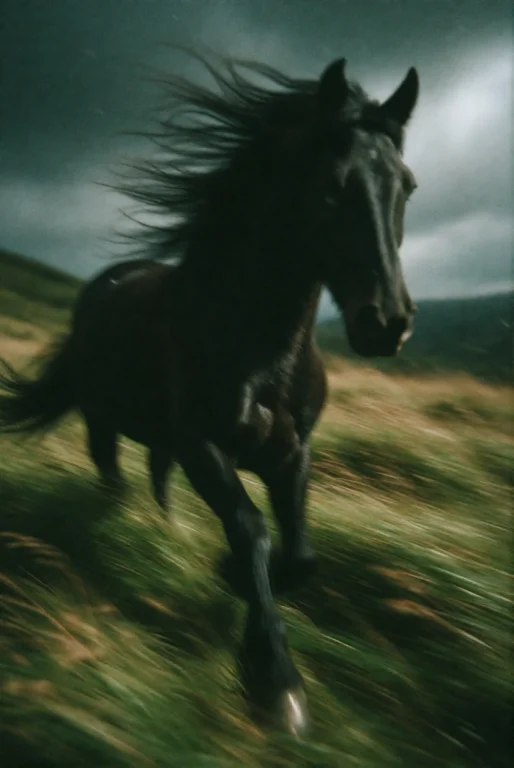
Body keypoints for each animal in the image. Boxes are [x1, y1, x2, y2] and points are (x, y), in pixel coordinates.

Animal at [0, 53, 420, 736]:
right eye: (332, 184)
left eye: (406, 186)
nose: (386, 323)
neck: (261, 349)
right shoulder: (205, 445)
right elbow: (251, 529)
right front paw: (274, 678)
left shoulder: (292, 453)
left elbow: (300, 554)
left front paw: (238, 588)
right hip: (103, 418)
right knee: (111, 468)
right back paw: (127, 518)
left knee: (156, 474)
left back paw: (169, 530)